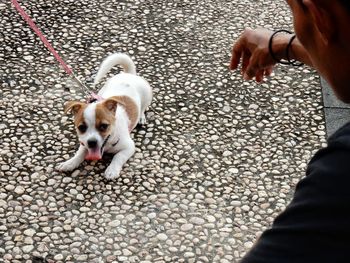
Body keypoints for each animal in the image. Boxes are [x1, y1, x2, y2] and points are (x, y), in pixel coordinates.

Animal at [58, 52, 152, 180]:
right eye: (81, 128)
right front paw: (70, 163)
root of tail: (129, 74)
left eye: (104, 126)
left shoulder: (129, 147)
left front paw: (112, 170)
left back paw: (141, 117)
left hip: (147, 97)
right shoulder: (84, 142)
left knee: (142, 108)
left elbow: (118, 157)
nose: (92, 142)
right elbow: (79, 153)